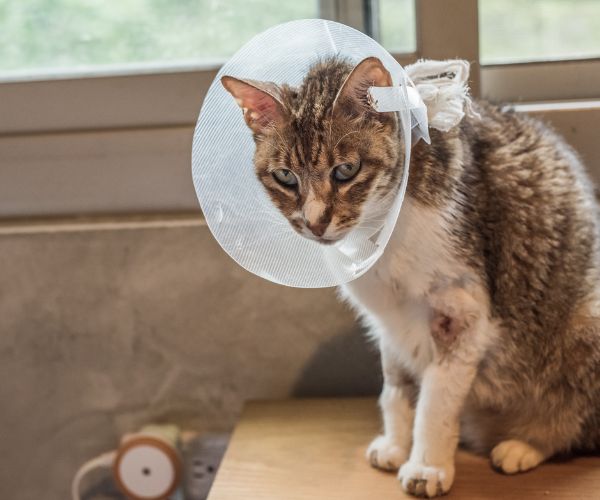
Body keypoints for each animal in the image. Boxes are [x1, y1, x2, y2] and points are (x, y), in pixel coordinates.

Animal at [221, 57, 600, 496]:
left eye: (346, 170)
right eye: (285, 177)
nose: (315, 224)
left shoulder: (462, 315)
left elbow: (435, 402)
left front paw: (427, 466)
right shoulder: (390, 321)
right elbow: (396, 388)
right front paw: (397, 445)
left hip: (585, 322)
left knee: (574, 420)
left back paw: (524, 445)